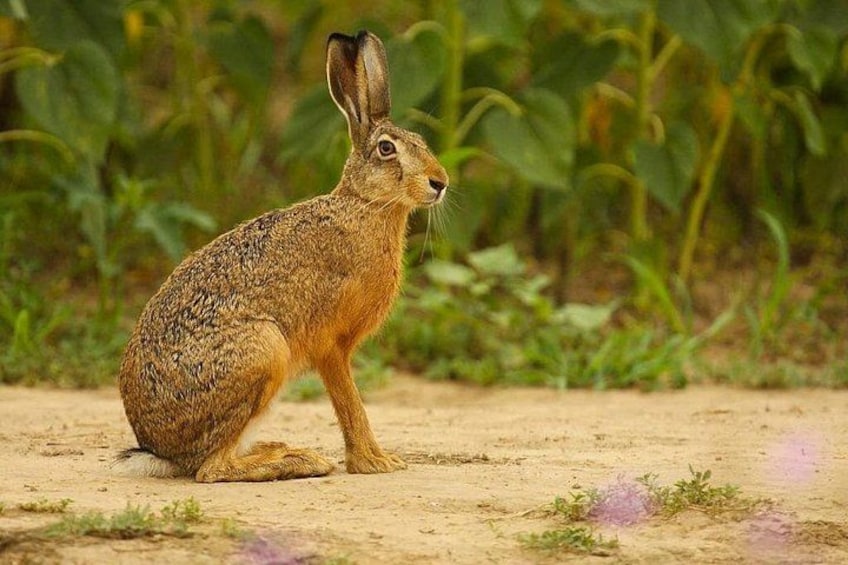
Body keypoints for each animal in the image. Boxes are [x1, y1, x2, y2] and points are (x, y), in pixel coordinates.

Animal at [115, 30, 448, 482]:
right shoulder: (331, 343)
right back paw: (299, 461)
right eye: (385, 149)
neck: (365, 206)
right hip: (263, 350)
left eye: (421, 142)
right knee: (211, 469)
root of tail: (157, 447)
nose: (440, 182)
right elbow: (350, 403)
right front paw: (375, 463)